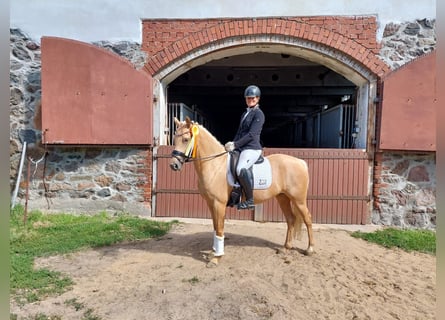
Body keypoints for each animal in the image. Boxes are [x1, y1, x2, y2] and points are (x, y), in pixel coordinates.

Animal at [169, 116, 312, 266]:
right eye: (174, 139)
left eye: (186, 139)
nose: (174, 165)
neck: (215, 165)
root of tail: (301, 162)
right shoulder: (211, 203)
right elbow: (215, 227)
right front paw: (213, 252)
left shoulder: (219, 204)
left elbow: (219, 228)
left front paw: (216, 257)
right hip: (283, 197)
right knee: (290, 219)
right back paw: (286, 248)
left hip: (299, 200)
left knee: (307, 219)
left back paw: (310, 249)